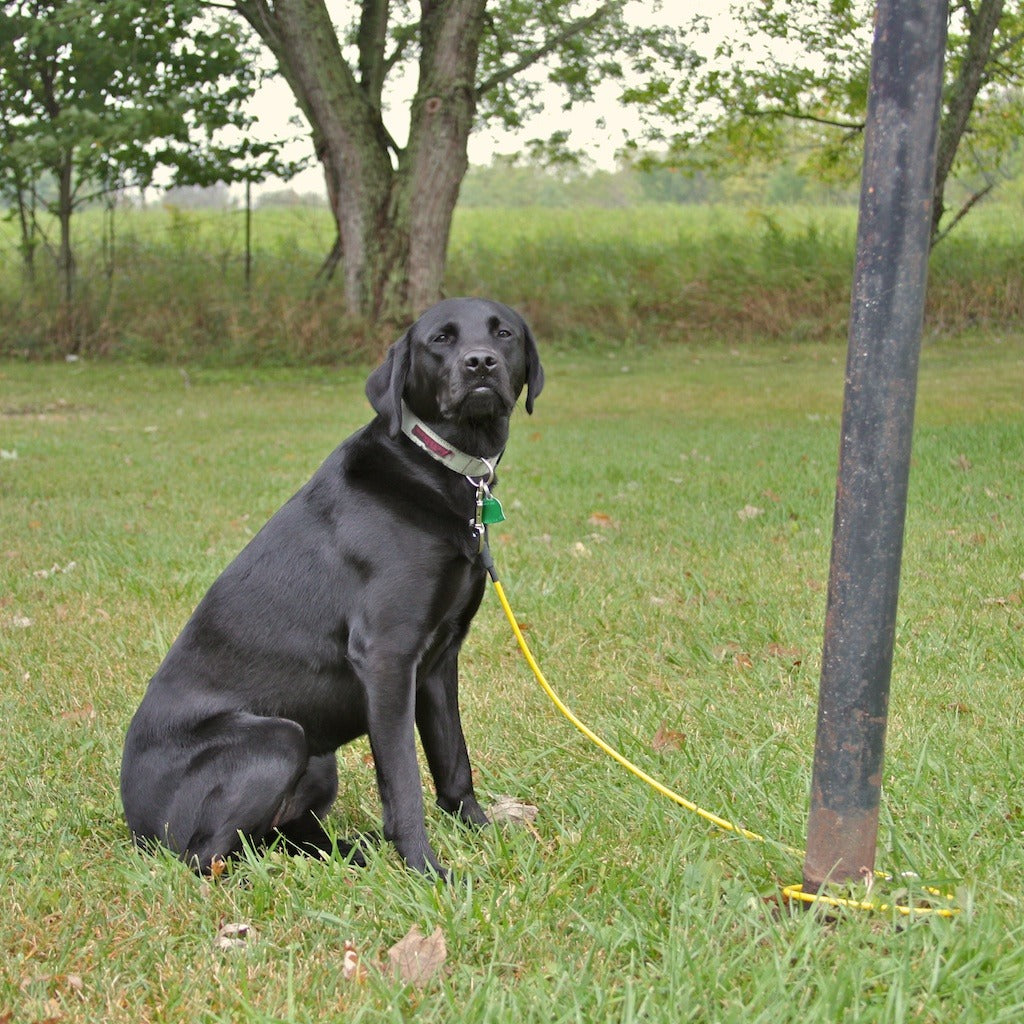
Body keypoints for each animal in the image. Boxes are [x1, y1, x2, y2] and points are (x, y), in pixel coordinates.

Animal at [119, 294, 544, 872]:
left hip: (318, 759)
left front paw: (481, 832)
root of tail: (135, 821)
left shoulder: (439, 661)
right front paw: (427, 870)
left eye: (504, 333)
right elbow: (404, 781)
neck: (438, 470)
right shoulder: (387, 658)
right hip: (279, 738)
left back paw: (353, 853)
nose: (480, 363)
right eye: (441, 339)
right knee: (207, 856)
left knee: (275, 838)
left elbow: (454, 763)